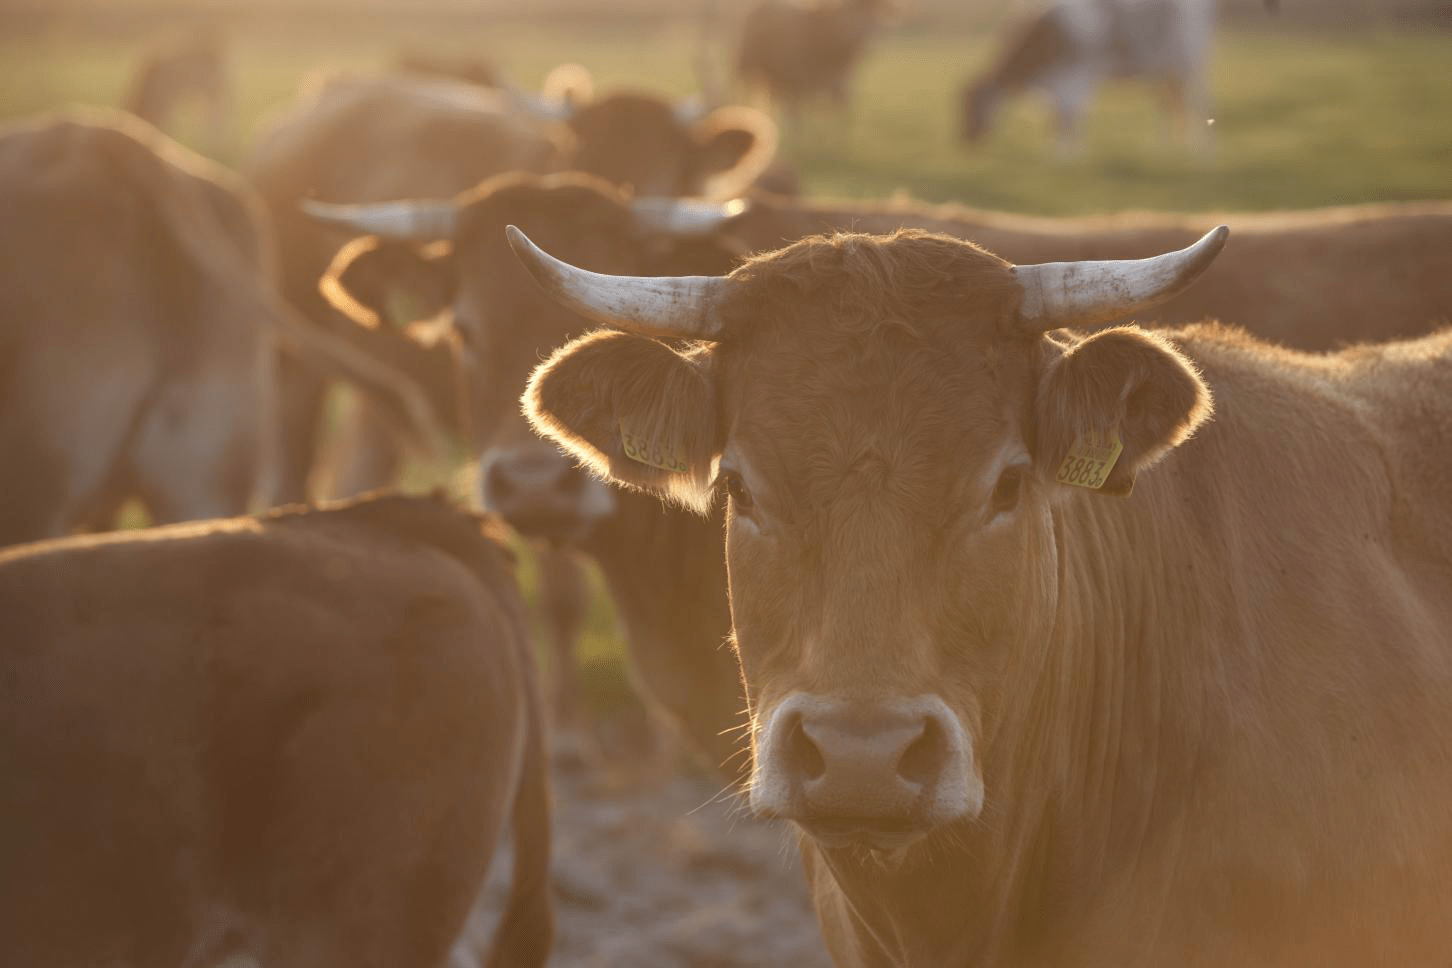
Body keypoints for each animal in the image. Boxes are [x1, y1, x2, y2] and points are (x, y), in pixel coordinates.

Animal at [736, 0, 898, 122]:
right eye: (847, 12)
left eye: (871, 14)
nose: (858, 38)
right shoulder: (798, 82)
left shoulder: (841, 87)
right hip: (750, 67)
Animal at [960, 0, 1216, 154]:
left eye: (972, 105)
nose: (962, 140)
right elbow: (1061, 117)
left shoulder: (1075, 75)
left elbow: (1067, 116)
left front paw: (1065, 157)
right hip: (1166, 70)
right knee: (1169, 104)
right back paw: (1163, 148)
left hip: (1191, 62)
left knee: (1198, 103)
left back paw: (1202, 151)